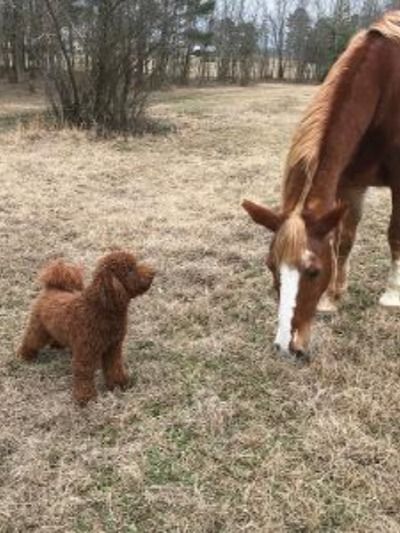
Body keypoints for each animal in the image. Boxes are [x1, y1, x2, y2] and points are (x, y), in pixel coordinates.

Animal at [241, 12, 400, 360]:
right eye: (271, 266)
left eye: (313, 271)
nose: (287, 347)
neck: (386, 86)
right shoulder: (349, 182)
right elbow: (343, 241)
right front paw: (332, 298)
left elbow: (395, 234)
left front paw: (392, 294)